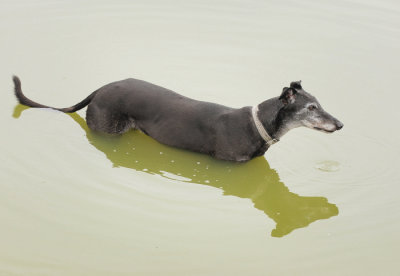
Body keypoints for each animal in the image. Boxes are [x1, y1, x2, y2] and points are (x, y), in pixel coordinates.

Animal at [13, 75, 344, 162]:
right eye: (311, 108)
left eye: (319, 104)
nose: (340, 124)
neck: (257, 124)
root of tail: (101, 88)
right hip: (108, 128)